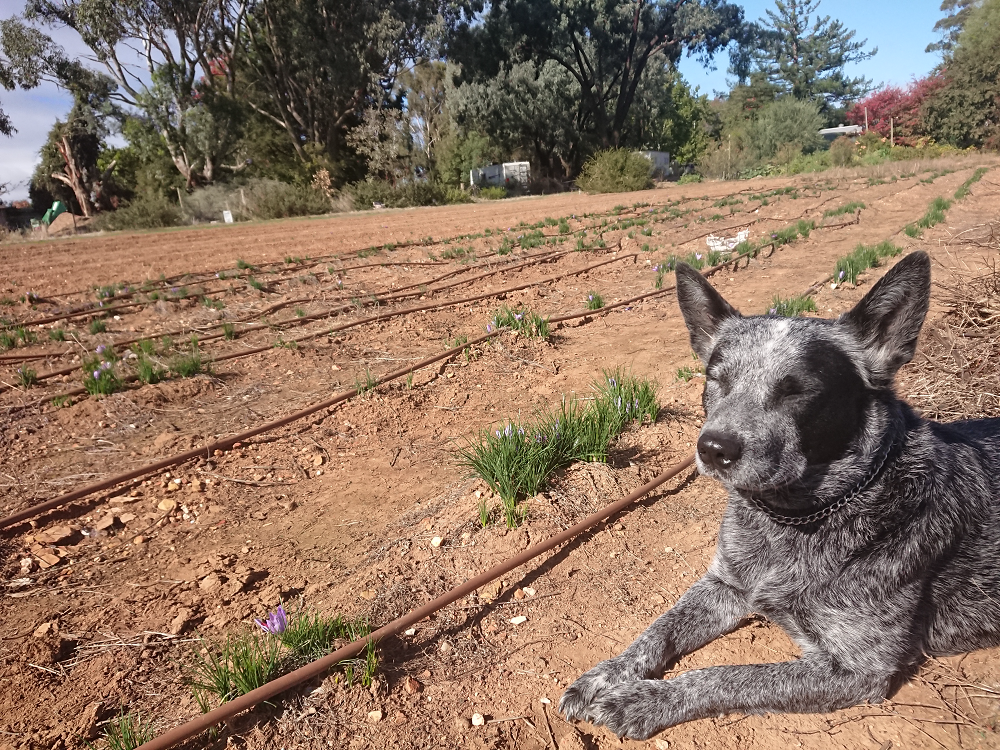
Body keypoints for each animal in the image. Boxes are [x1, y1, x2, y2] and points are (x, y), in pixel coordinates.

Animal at [560, 251, 1000, 740]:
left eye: (797, 391)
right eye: (717, 380)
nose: (713, 448)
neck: (791, 519)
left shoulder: (858, 669)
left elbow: (728, 676)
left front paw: (643, 699)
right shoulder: (724, 583)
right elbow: (659, 629)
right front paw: (607, 674)